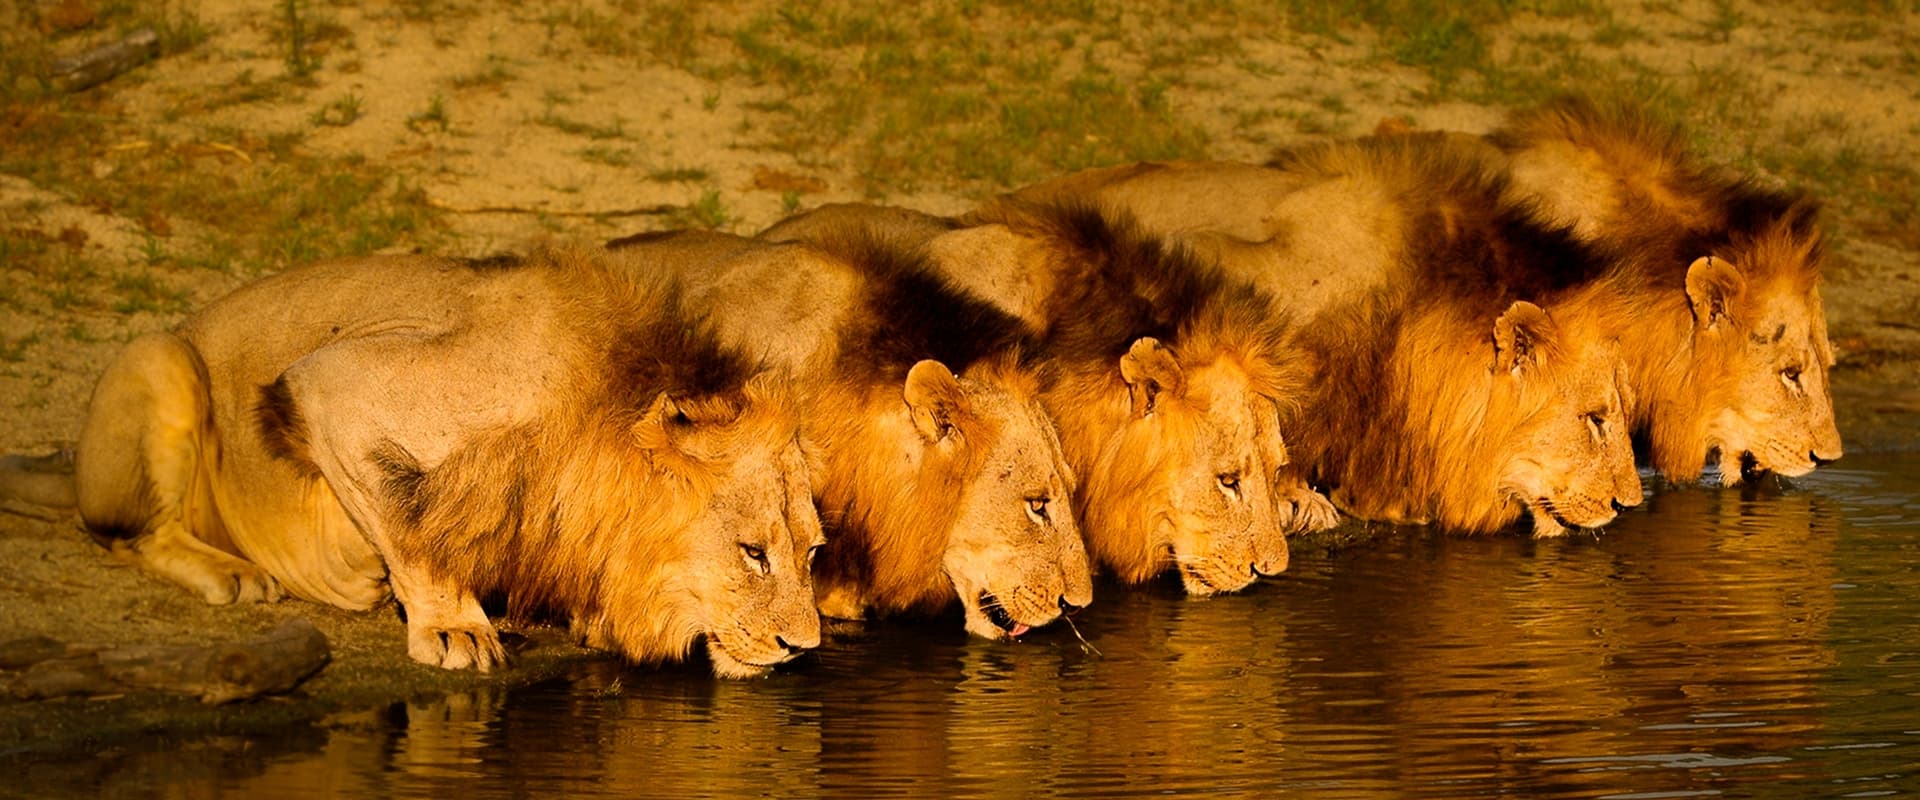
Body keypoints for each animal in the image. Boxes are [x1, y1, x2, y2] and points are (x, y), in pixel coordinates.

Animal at [68, 245, 823, 678]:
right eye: (753, 553)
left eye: (813, 552)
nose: (804, 649)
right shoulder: (332, 385)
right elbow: (411, 525)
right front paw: (454, 626)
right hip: (163, 359)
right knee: (130, 535)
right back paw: (236, 574)